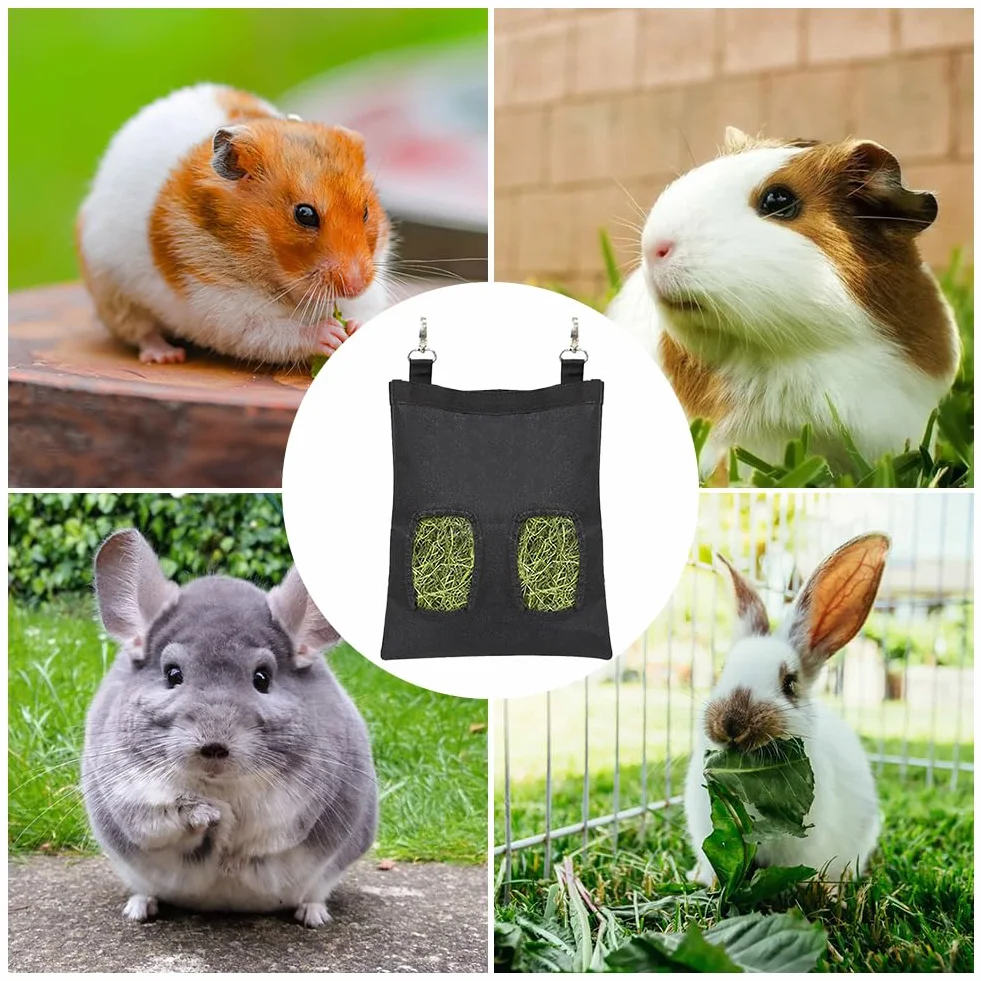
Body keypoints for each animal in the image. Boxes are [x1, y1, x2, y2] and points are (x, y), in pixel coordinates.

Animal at [81, 528, 378, 927]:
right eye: (173, 674)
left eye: (262, 679)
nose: (214, 746)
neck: (221, 786)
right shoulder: (130, 792)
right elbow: (161, 821)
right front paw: (210, 816)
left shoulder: (298, 803)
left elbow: (263, 833)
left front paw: (231, 848)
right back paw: (139, 909)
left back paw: (312, 915)